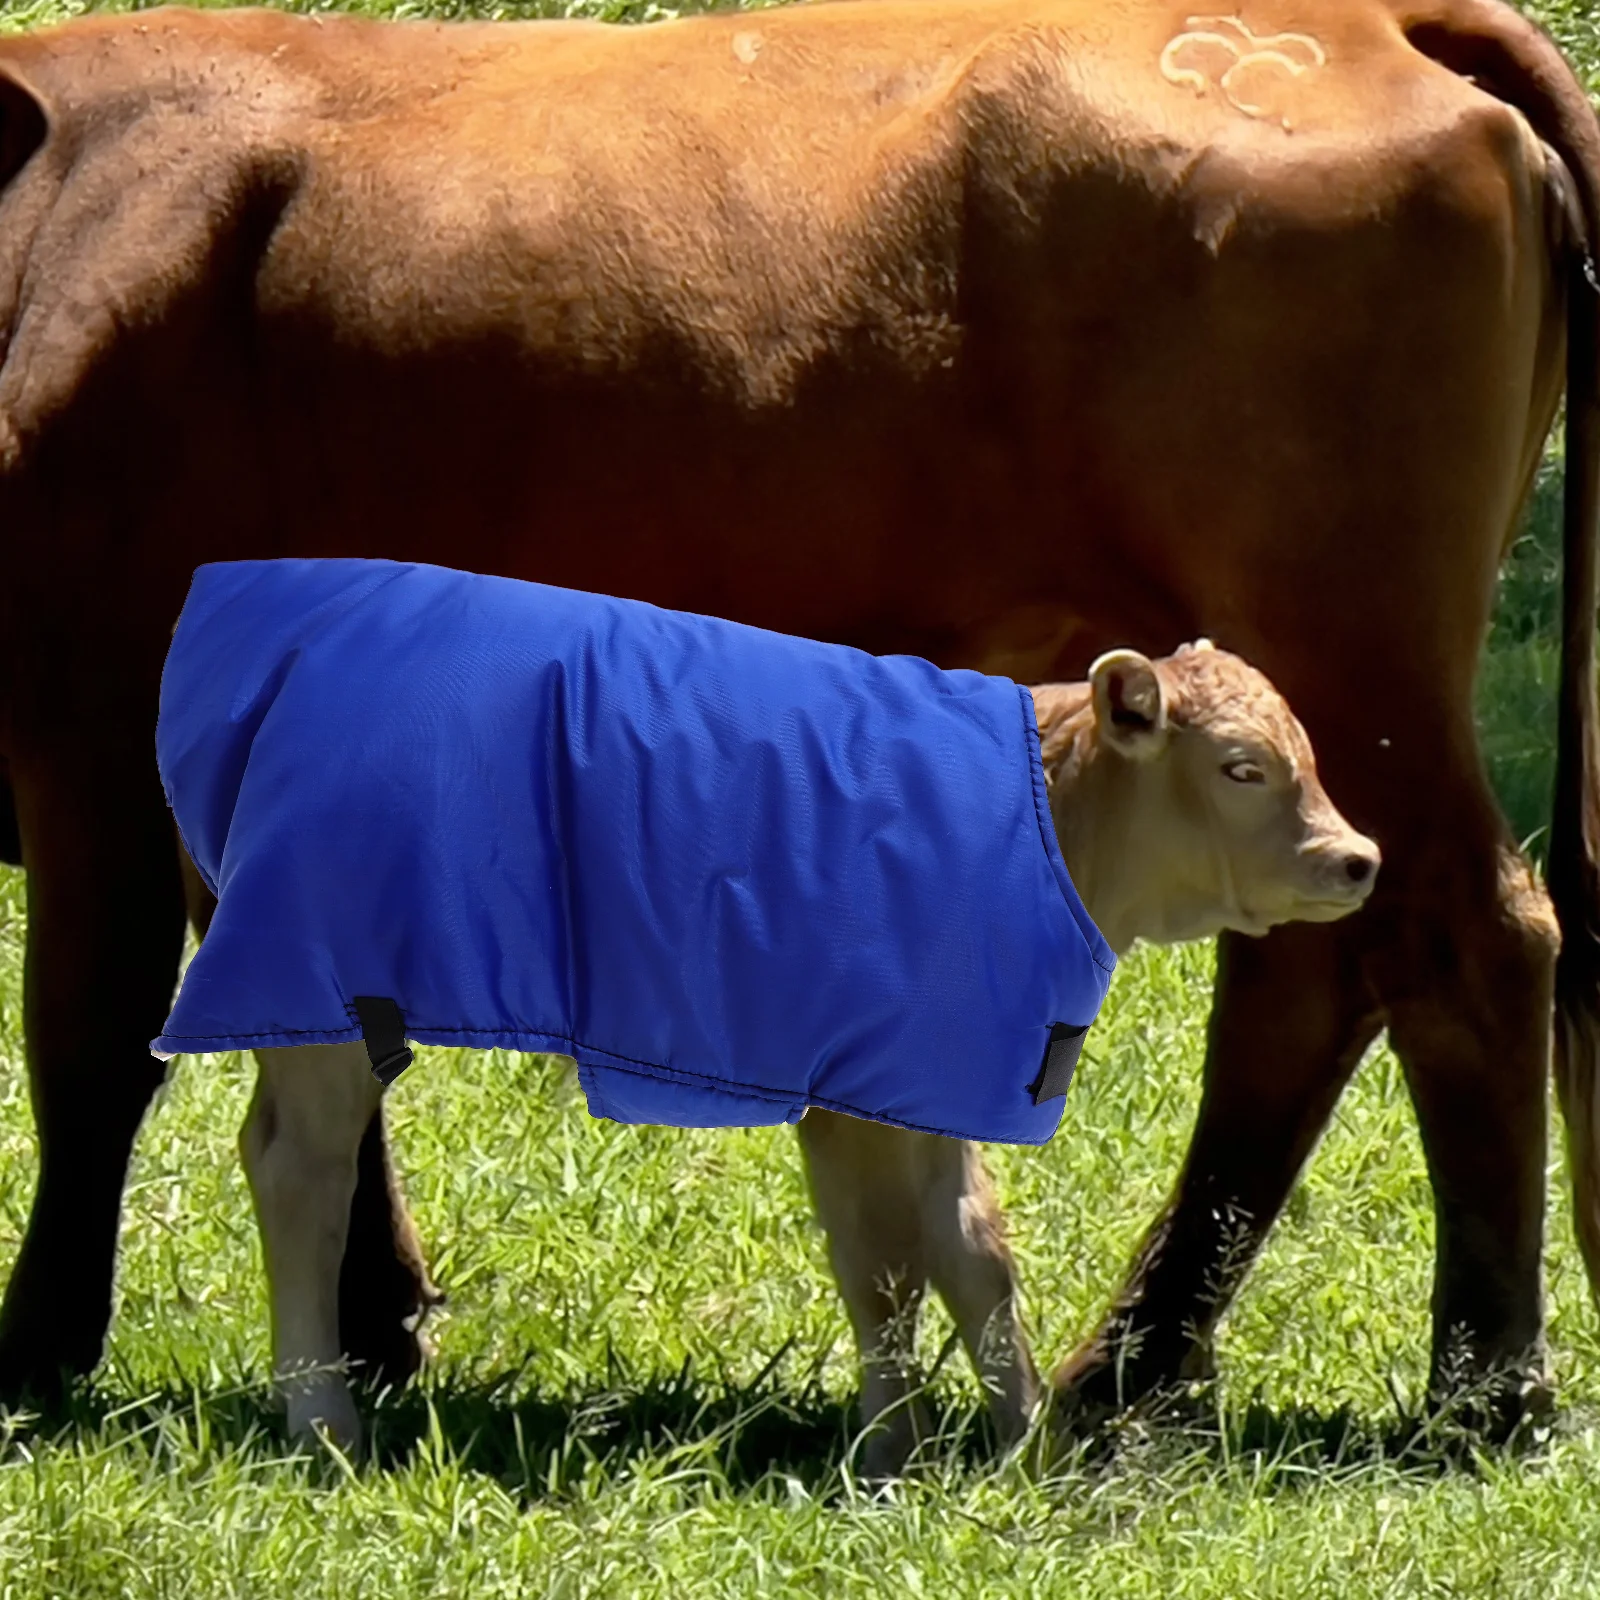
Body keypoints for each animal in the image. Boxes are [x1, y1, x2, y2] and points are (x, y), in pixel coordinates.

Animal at [231, 640, 1378, 1456]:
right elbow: (881, 1265)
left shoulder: (946, 1082)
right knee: (303, 1175)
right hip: (325, 1008)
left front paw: (1024, 1446)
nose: (1357, 856)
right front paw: (890, 1448)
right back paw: (324, 1422)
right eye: (1241, 767)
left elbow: (972, 1253)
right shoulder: (849, 1099)